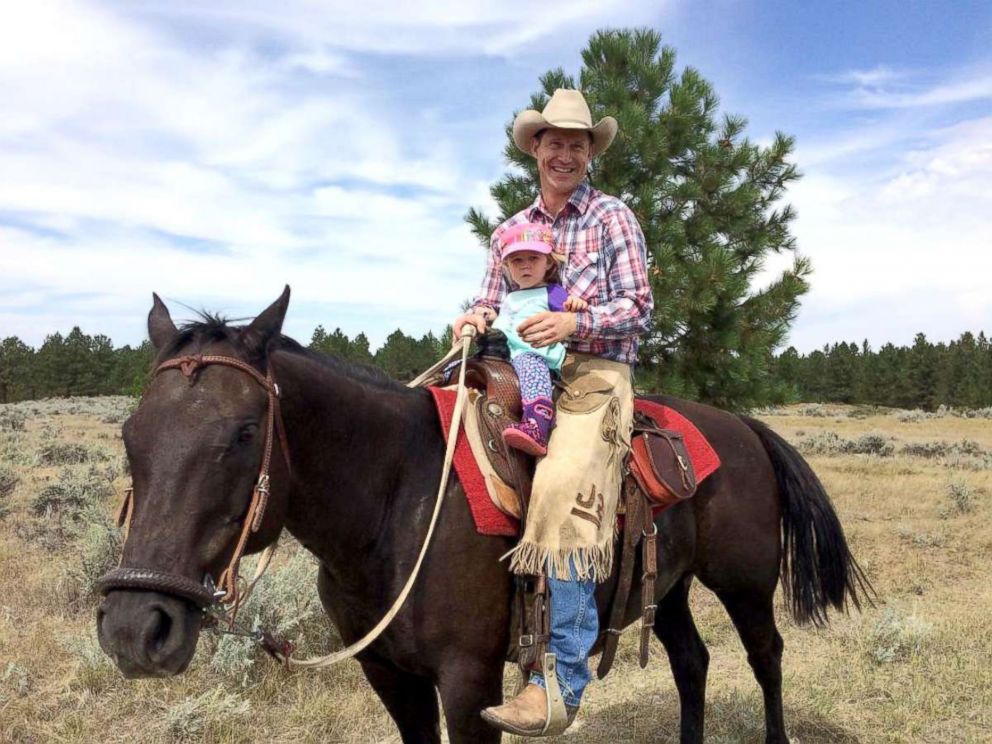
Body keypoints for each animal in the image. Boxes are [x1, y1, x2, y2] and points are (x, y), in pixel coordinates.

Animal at [93, 290, 868, 744]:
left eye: (244, 433)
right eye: (131, 436)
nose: (135, 628)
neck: (392, 503)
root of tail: (743, 427)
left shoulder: (469, 684)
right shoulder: (390, 677)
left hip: (744, 582)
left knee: (766, 657)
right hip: (669, 586)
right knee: (693, 664)